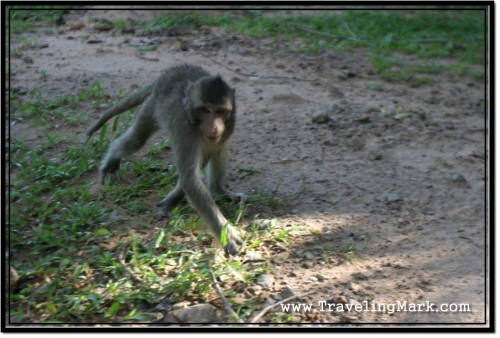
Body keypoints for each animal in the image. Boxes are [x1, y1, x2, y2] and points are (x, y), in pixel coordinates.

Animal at [88, 63, 244, 255]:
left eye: (220, 111)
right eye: (206, 110)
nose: (214, 127)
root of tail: (166, 75)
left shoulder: (229, 126)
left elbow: (202, 162)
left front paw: (173, 200)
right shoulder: (185, 131)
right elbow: (190, 179)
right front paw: (225, 234)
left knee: (220, 150)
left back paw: (218, 190)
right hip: (153, 105)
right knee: (137, 139)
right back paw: (112, 160)